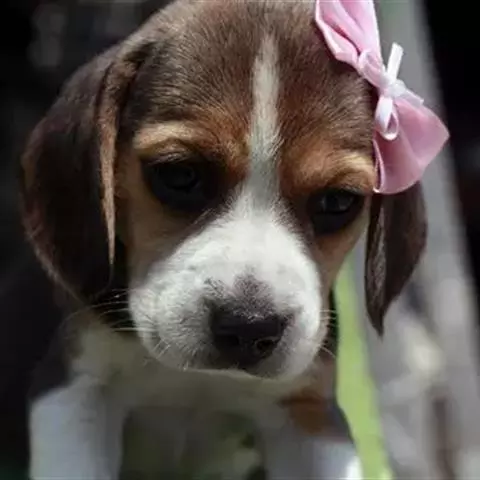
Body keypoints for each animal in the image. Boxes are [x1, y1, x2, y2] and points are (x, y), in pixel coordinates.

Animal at [18, 0, 427, 478]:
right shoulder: (75, 389)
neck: (197, 380)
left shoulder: (308, 412)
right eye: (179, 175)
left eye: (337, 201)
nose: (250, 327)